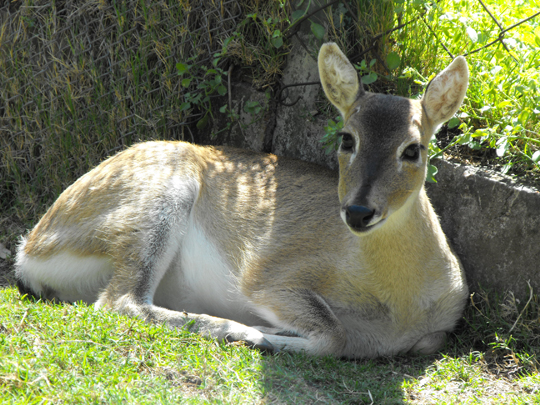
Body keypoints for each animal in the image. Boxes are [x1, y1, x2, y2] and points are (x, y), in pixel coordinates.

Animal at [15, 43, 468, 356]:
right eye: (346, 138)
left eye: (413, 148)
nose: (358, 212)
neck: (398, 305)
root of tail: (27, 251)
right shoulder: (270, 278)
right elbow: (332, 336)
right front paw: (256, 333)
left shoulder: (439, 327)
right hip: (159, 201)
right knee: (120, 301)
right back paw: (232, 328)